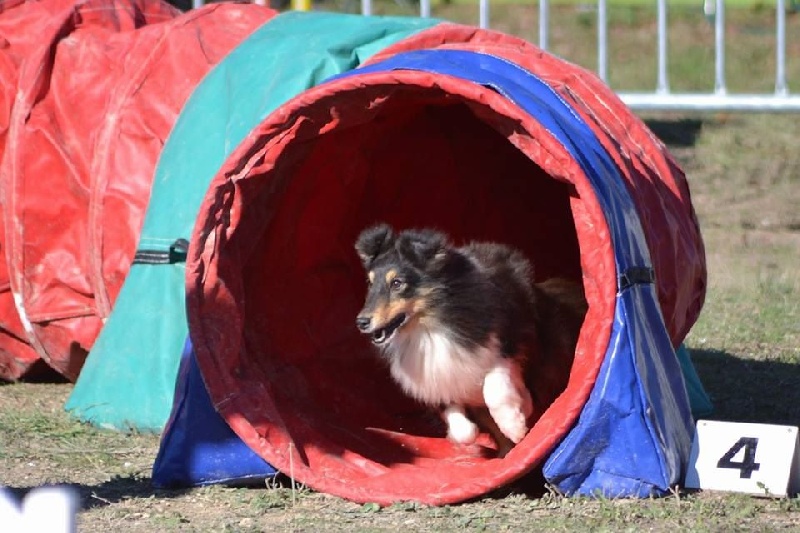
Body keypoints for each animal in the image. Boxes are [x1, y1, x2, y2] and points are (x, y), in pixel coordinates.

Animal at [356, 222, 588, 456]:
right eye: (369, 283)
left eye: (397, 283)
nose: (361, 322)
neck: (429, 325)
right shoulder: (437, 378)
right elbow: (462, 428)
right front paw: (469, 433)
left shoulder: (512, 341)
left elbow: (495, 388)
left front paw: (516, 422)